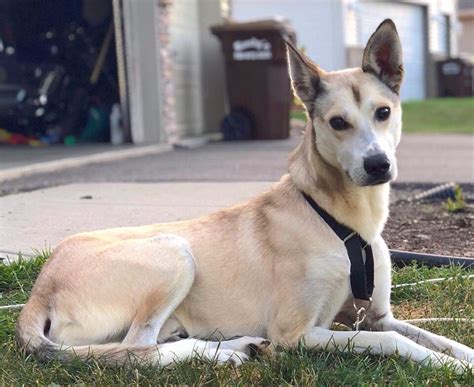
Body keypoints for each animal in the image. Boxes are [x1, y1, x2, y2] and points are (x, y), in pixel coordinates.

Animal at [15, 20, 474, 372]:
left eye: (384, 112)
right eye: (338, 122)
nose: (378, 165)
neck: (340, 220)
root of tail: (39, 289)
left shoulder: (376, 317)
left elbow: (437, 336)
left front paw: (460, 355)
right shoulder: (296, 333)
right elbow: (395, 343)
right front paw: (449, 367)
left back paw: (231, 343)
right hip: (174, 251)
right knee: (137, 349)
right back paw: (224, 352)